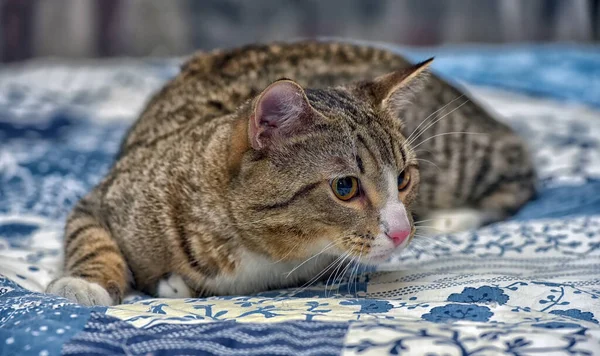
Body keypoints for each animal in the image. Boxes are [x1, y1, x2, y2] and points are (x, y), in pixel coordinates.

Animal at [45, 39, 536, 306]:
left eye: (404, 179)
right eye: (345, 187)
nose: (402, 231)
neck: (262, 260)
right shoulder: (107, 197)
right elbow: (90, 236)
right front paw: (84, 283)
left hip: (465, 156)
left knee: (519, 170)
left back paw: (455, 216)